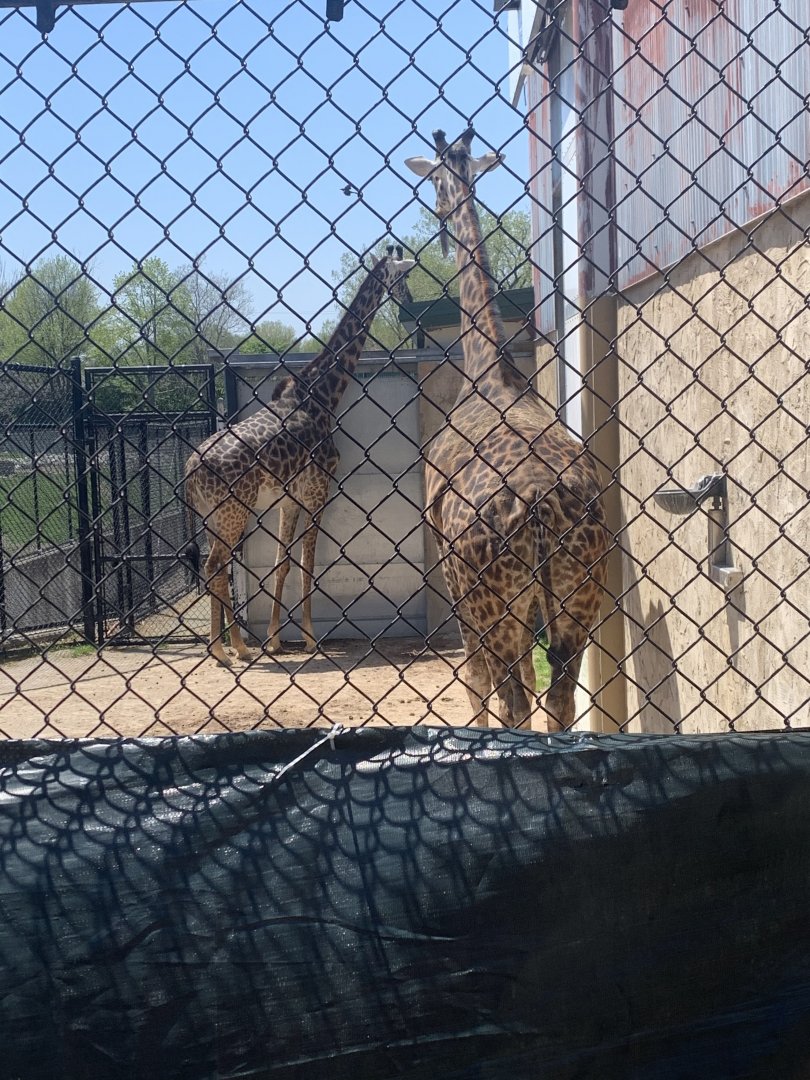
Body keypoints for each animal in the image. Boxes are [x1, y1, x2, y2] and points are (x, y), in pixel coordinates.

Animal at [182, 248, 415, 667]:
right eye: (402, 276)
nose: (407, 300)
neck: (323, 395)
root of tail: (190, 468)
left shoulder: (288, 499)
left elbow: (282, 563)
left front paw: (276, 640)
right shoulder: (320, 489)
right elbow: (308, 565)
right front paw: (309, 638)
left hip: (213, 516)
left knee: (218, 567)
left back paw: (231, 646)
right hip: (233, 511)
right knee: (215, 566)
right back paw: (227, 649)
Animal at [405, 129, 609, 730]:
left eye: (435, 181)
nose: (440, 211)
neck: (488, 371)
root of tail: (540, 503)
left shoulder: (454, 583)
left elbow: (476, 685)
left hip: (492, 597)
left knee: (512, 697)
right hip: (577, 594)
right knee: (560, 697)